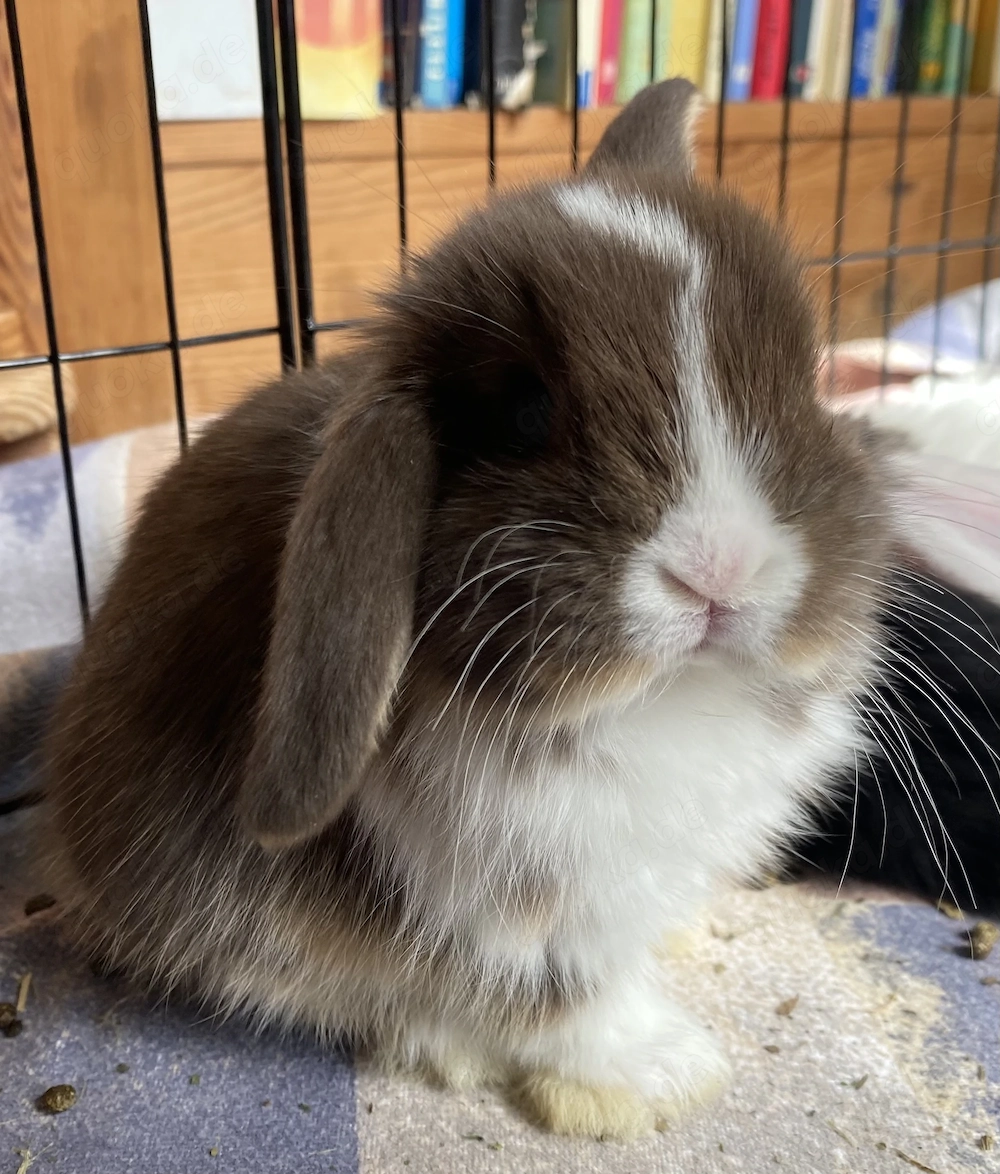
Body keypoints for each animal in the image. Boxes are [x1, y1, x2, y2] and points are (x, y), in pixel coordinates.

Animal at [42, 77, 918, 1140]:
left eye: (806, 377)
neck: (659, 703)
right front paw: (661, 1075)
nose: (722, 569)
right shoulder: (512, 907)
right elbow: (560, 997)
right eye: (525, 414)